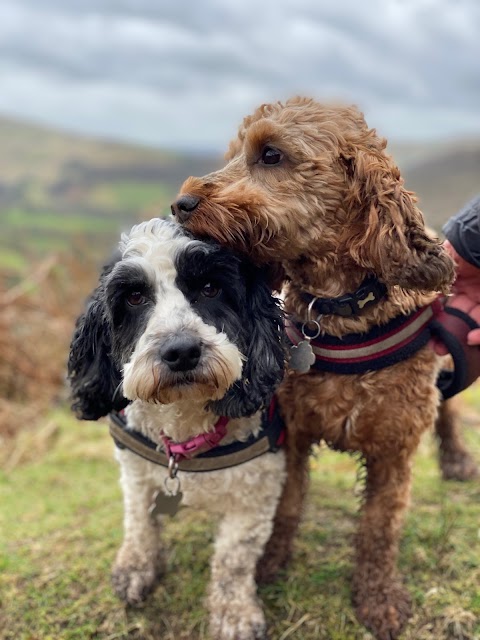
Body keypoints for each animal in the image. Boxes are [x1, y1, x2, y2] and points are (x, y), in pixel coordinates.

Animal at [69, 218, 286, 636]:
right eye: (135, 297)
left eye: (210, 288)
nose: (181, 351)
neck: (184, 431)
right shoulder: (136, 472)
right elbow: (138, 521)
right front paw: (136, 567)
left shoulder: (256, 493)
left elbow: (233, 560)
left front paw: (234, 613)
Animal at [172, 96, 472, 640]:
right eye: (233, 153)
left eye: (271, 154)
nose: (180, 204)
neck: (338, 312)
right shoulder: (292, 433)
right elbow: (286, 508)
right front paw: (270, 563)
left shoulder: (394, 449)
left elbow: (378, 528)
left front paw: (378, 598)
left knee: (449, 412)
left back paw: (458, 458)